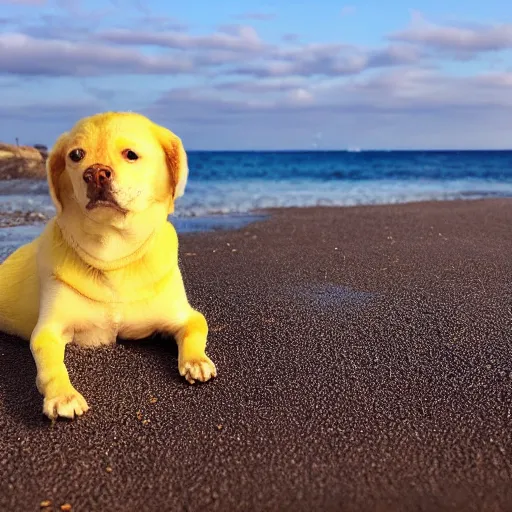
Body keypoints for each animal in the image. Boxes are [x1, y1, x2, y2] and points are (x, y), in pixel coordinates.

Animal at [0, 112, 216, 420]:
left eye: (131, 155)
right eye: (76, 155)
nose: (96, 173)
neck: (114, 257)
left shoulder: (186, 316)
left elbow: (196, 329)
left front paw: (197, 361)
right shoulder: (48, 331)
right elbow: (51, 366)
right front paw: (63, 395)